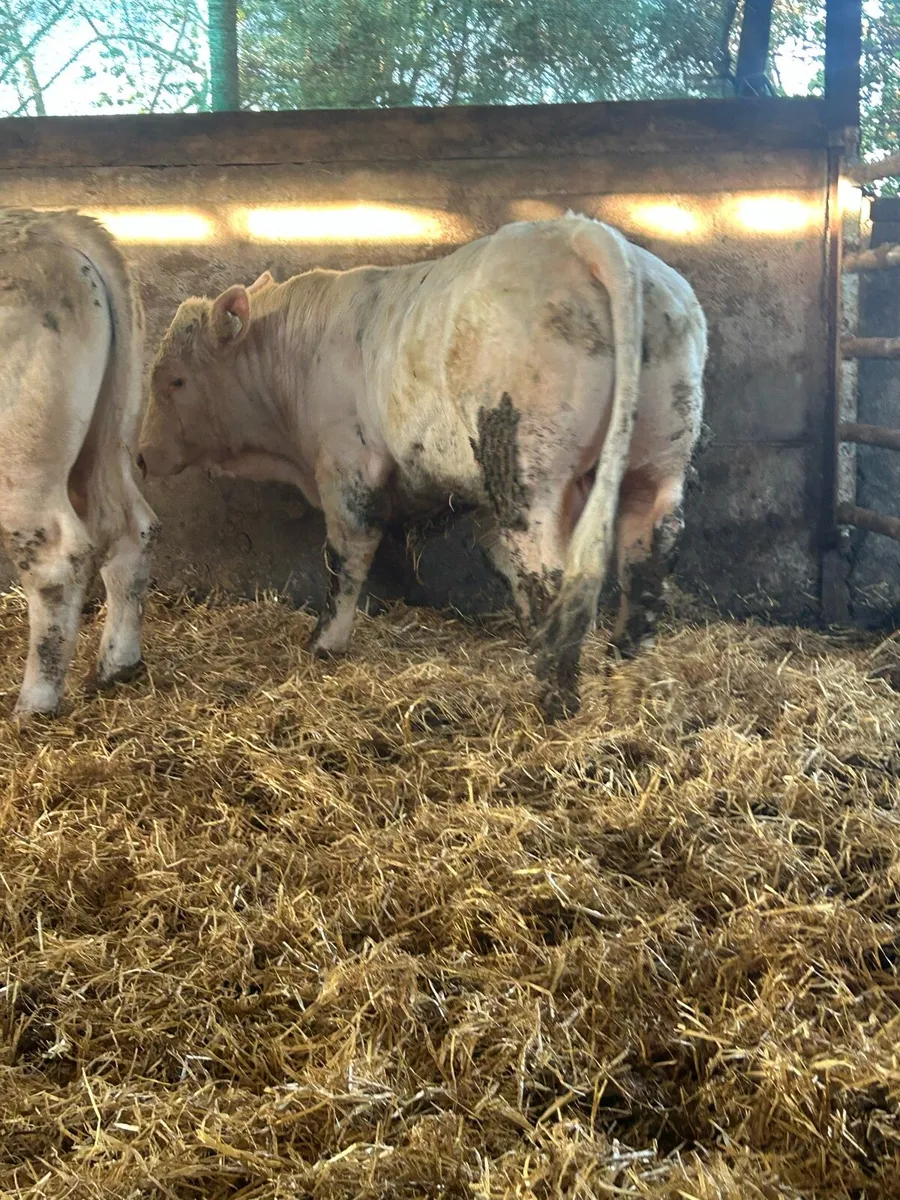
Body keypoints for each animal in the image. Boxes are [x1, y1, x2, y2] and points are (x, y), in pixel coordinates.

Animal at [0, 209, 158, 716]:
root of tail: (53, 224)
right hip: (109, 442)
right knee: (134, 527)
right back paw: (117, 666)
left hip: (23, 466)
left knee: (56, 562)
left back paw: (34, 704)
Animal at [138, 215, 707, 719]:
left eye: (176, 380)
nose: (141, 454)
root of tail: (586, 234)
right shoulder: (479, 496)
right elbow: (501, 560)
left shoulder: (346, 466)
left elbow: (346, 556)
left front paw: (325, 641)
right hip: (658, 457)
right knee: (647, 551)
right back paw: (624, 660)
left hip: (529, 470)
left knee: (551, 567)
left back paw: (554, 693)